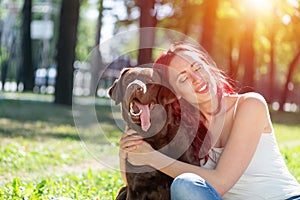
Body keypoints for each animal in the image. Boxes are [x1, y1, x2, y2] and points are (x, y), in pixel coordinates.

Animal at [108, 67, 199, 200]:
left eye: (150, 80)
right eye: (128, 79)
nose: (135, 86)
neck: (154, 135)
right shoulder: (135, 188)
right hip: (123, 190)